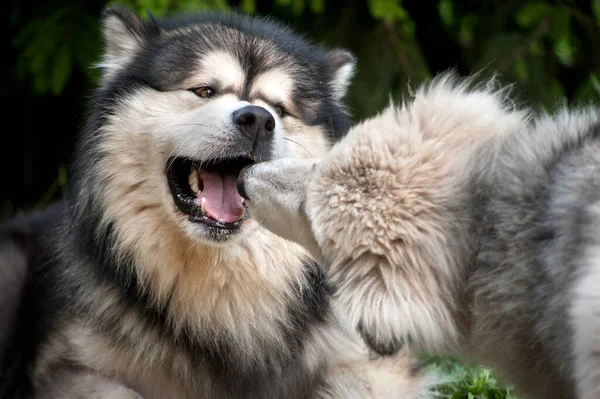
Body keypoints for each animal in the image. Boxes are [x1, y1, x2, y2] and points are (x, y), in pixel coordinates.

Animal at [1, 6, 432, 399]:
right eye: (204, 91)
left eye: (280, 109)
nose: (258, 120)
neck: (222, 283)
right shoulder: (66, 369)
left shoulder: (378, 365)